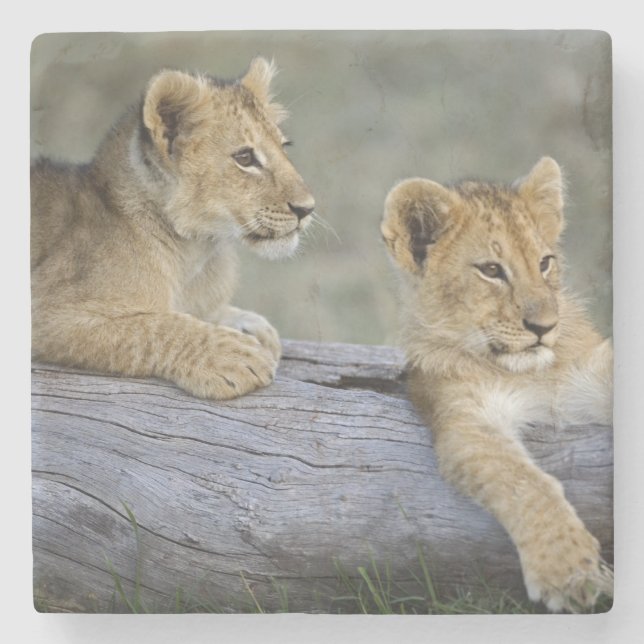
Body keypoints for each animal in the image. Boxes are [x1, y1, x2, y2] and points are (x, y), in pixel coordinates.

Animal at [31, 57, 315, 400]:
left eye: (284, 146)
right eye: (245, 157)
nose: (307, 208)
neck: (195, 254)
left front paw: (249, 324)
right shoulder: (48, 309)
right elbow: (150, 327)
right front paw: (232, 355)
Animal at [381, 157, 613, 611]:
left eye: (545, 263)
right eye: (491, 270)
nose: (545, 327)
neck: (532, 372)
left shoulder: (593, 370)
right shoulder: (465, 419)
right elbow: (525, 482)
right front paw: (568, 572)